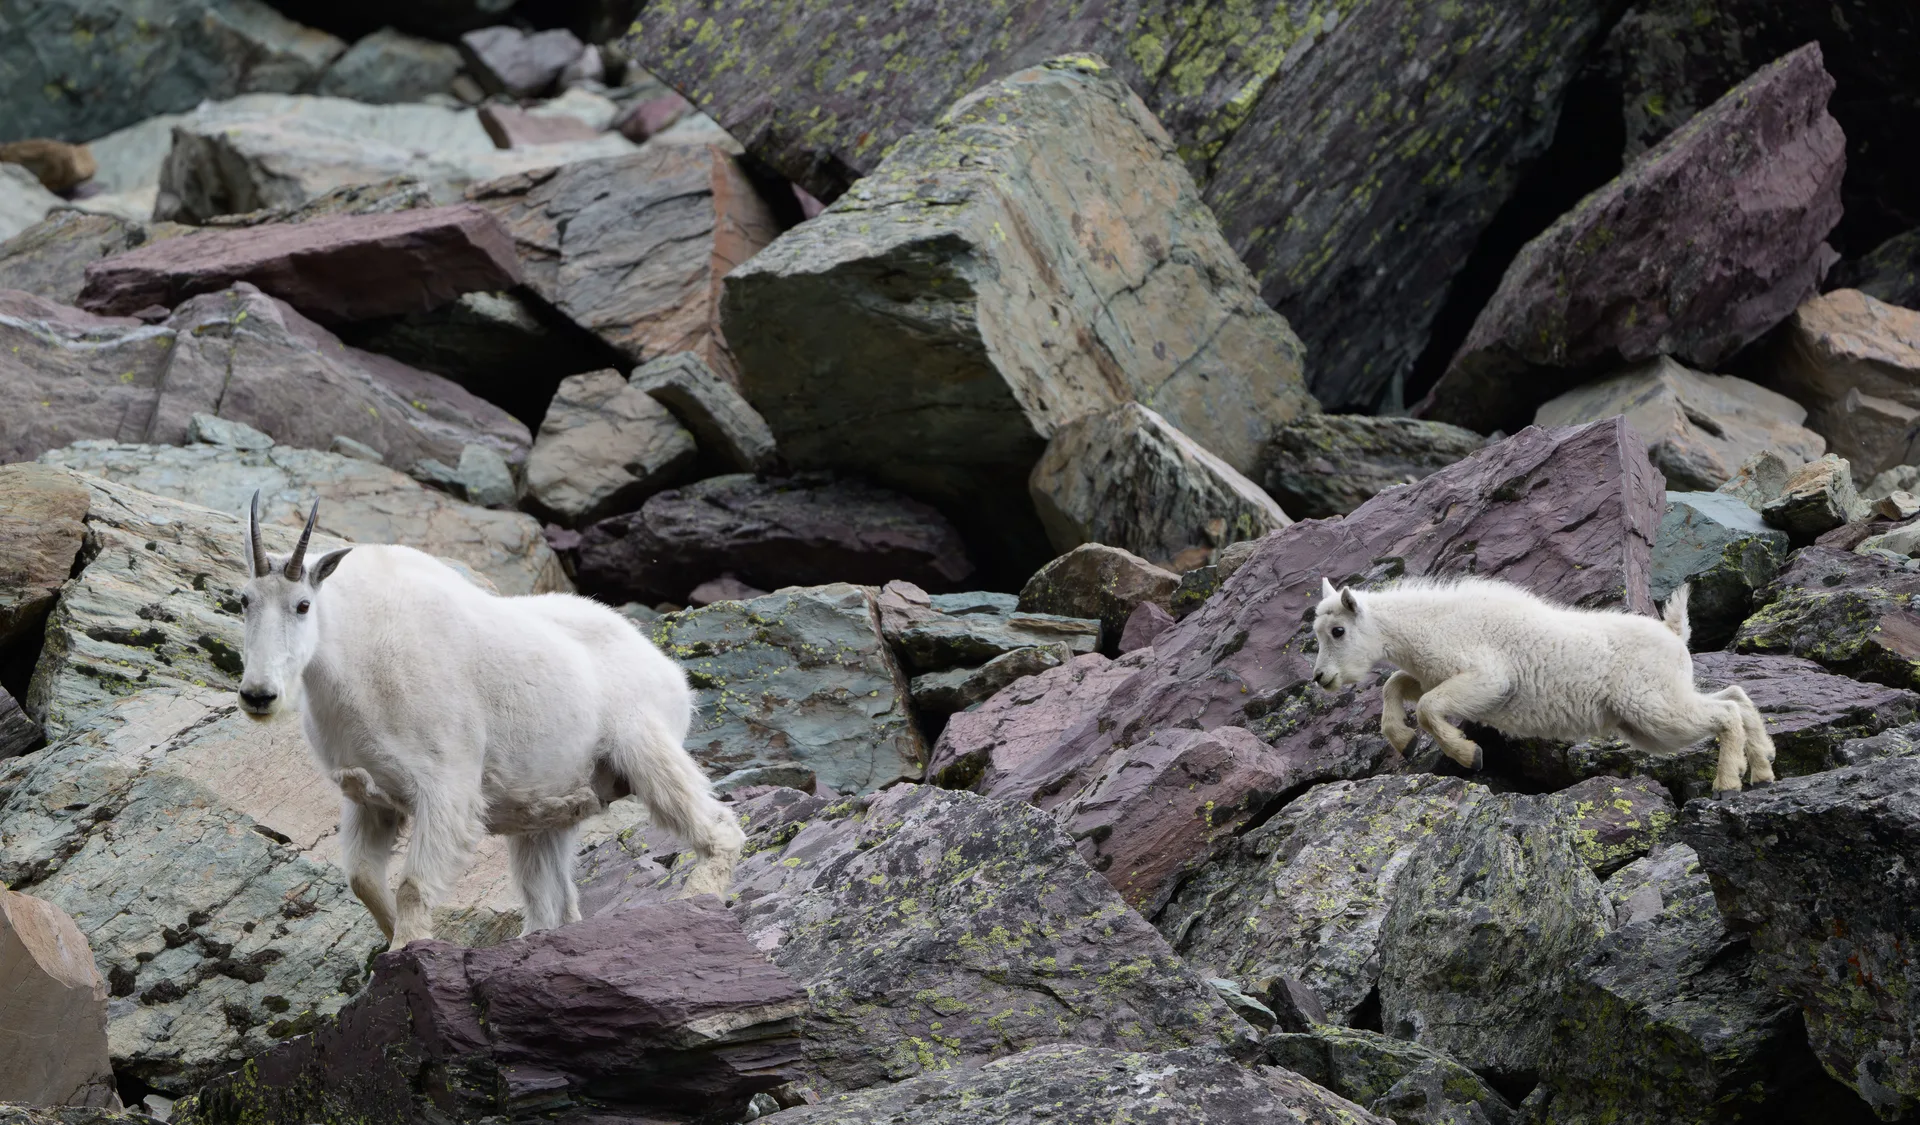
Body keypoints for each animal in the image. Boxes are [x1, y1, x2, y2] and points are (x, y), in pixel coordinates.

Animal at [234, 494, 744, 949]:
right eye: (243, 601)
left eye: (302, 605)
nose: (258, 695)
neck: (353, 654)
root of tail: (672, 673)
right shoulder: (369, 795)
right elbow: (363, 880)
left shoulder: (446, 785)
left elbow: (412, 886)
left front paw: (406, 951)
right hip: (552, 809)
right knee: (555, 900)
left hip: (646, 746)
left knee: (719, 827)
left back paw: (696, 902)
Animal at [1309, 575, 1776, 796]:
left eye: (1336, 631)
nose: (1321, 678)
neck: (1428, 626)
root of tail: (1675, 633)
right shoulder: (1432, 676)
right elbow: (1394, 686)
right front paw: (1402, 742)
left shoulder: (1488, 679)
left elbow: (1426, 707)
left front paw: (1469, 754)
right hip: (1653, 713)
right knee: (1735, 697)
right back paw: (1763, 767)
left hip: (1652, 708)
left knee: (1724, 712)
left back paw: (1728, 782)